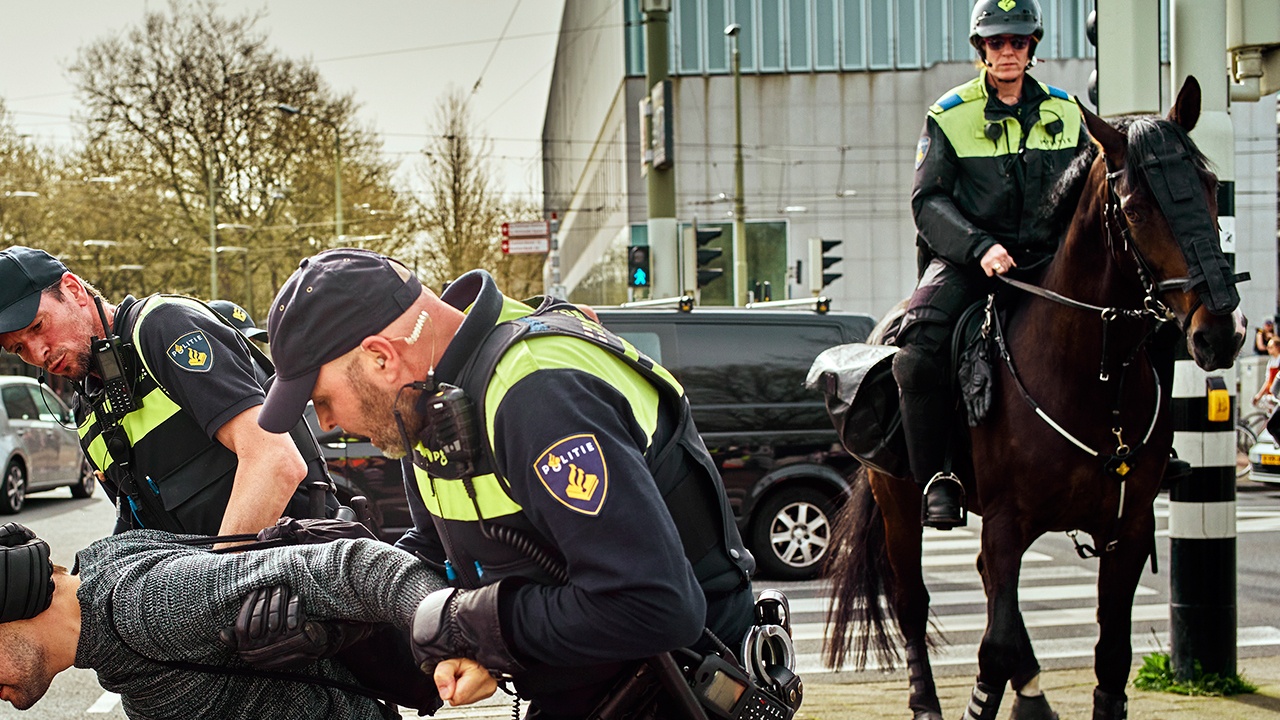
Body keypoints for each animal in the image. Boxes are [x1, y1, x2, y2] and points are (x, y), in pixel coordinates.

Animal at [819, 78, 1249, 717]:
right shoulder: (1005, 523)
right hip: (900, 500)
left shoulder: (1127, 531)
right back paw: (929, 700)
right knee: (912, 601)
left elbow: (1110, 659)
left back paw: (1030, 696)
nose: (1220, 331)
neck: (1095, 385)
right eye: (1135, 209)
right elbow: (993, 645)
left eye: (1210, 187)